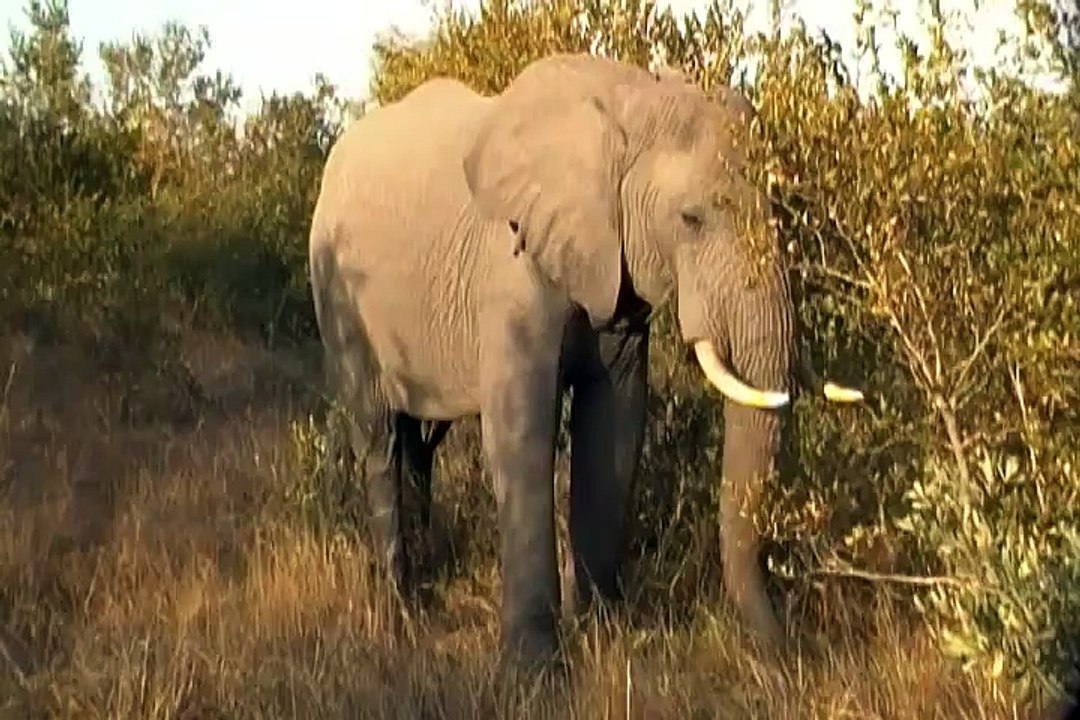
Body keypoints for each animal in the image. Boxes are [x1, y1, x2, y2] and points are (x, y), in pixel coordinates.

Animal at [307, 51, 863, 672]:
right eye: (690, 219)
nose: (787, 649)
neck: (631, 104)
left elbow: (617, 420)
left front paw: (606, 632)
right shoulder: (512, 270)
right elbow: (522, 432)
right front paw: (534, 669)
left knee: (415, 439)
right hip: (338, 294)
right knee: (378, 434)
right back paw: (401, 606)